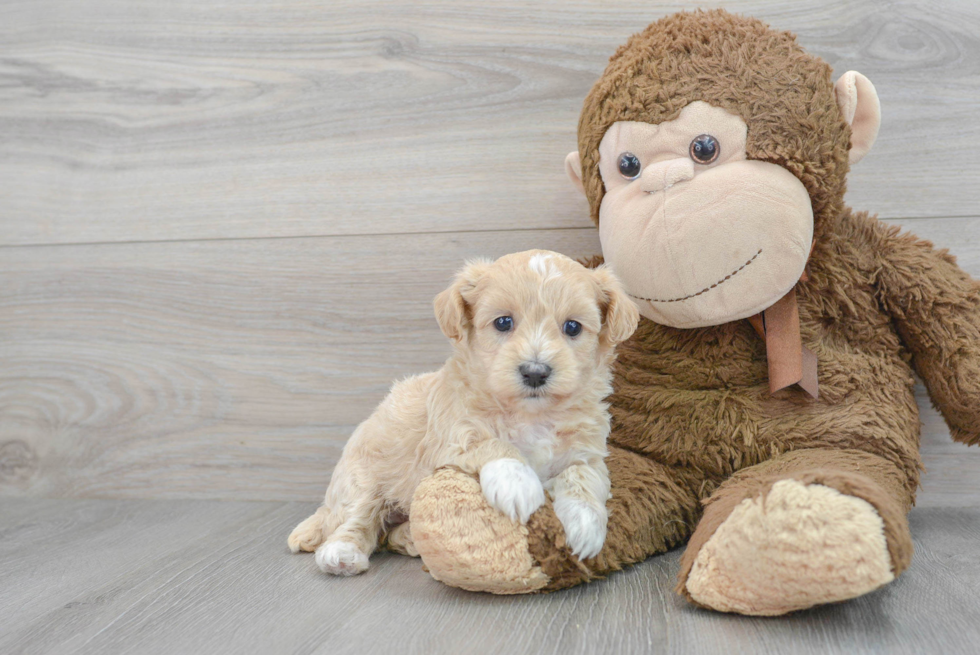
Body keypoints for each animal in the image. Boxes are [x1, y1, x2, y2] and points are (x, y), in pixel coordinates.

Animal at [288, 249, 640, 576]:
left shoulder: (587, 452)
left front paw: (585, 524)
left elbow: (583, 477)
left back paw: (410, 538)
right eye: (503, 322)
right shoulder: (449, 437)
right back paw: (342, 553)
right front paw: (519, 484)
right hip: (361, 476)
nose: (535, 372)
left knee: (386, 532)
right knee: (356, 519)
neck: (531, 414)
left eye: (573, 327)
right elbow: (492, 443)